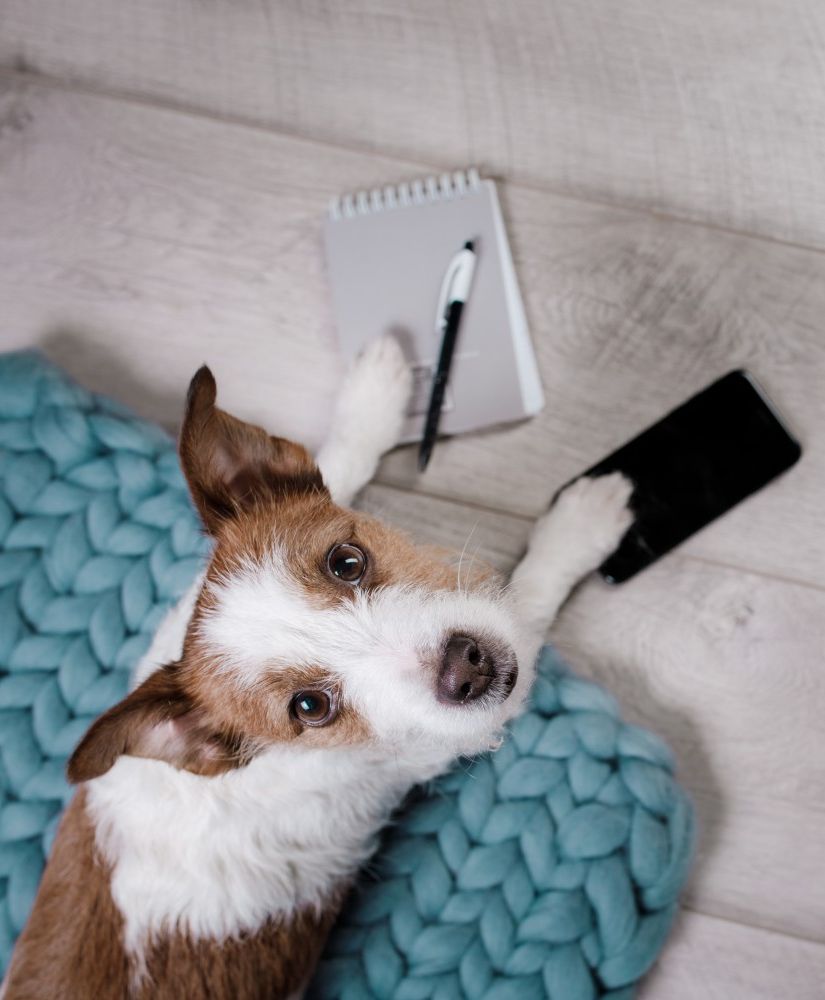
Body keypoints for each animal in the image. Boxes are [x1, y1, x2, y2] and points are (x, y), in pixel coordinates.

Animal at [3, 338, 632, 1000]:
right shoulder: (441, 737)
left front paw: (373, 399)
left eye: (346, 561)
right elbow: (529, 601)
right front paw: (581, 526)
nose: (465, 670)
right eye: (310, 708)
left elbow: (338, 462)